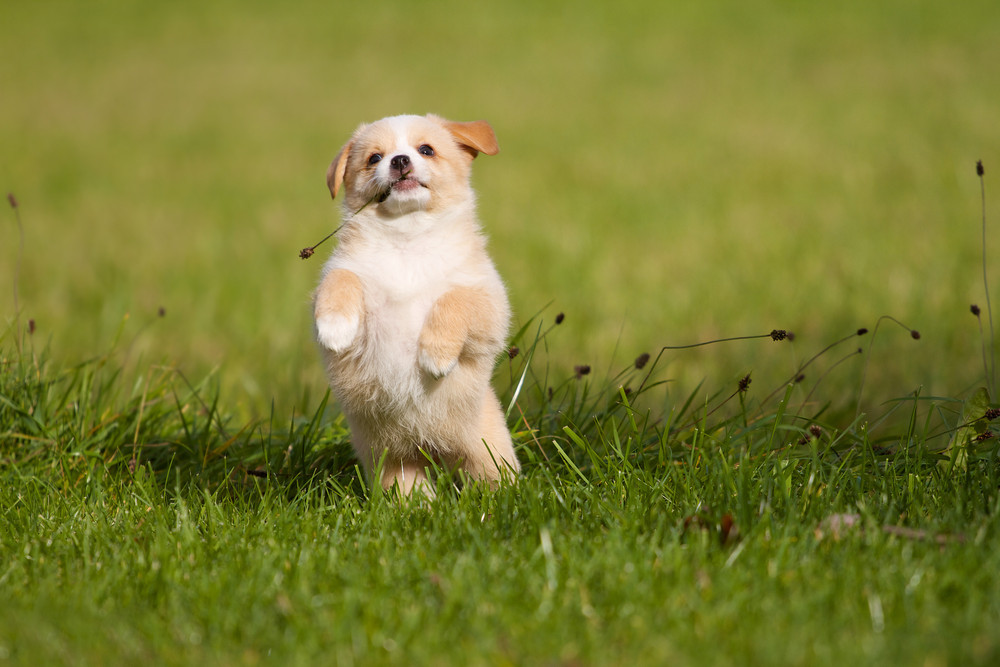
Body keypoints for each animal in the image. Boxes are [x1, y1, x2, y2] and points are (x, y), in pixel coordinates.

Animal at [312, 113, 520, 496]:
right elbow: (342, 278)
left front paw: (434, 356)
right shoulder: (348, 273)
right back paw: (416, 506)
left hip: (487, 452)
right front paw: (334, 327)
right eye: (374, 158)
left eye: (426, 150)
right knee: (408, 488)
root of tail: (432, 449)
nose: (399, 160)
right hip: (392, 461)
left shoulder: (489, 302)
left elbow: (453, 298)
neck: (407, 237)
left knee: (494, 478)